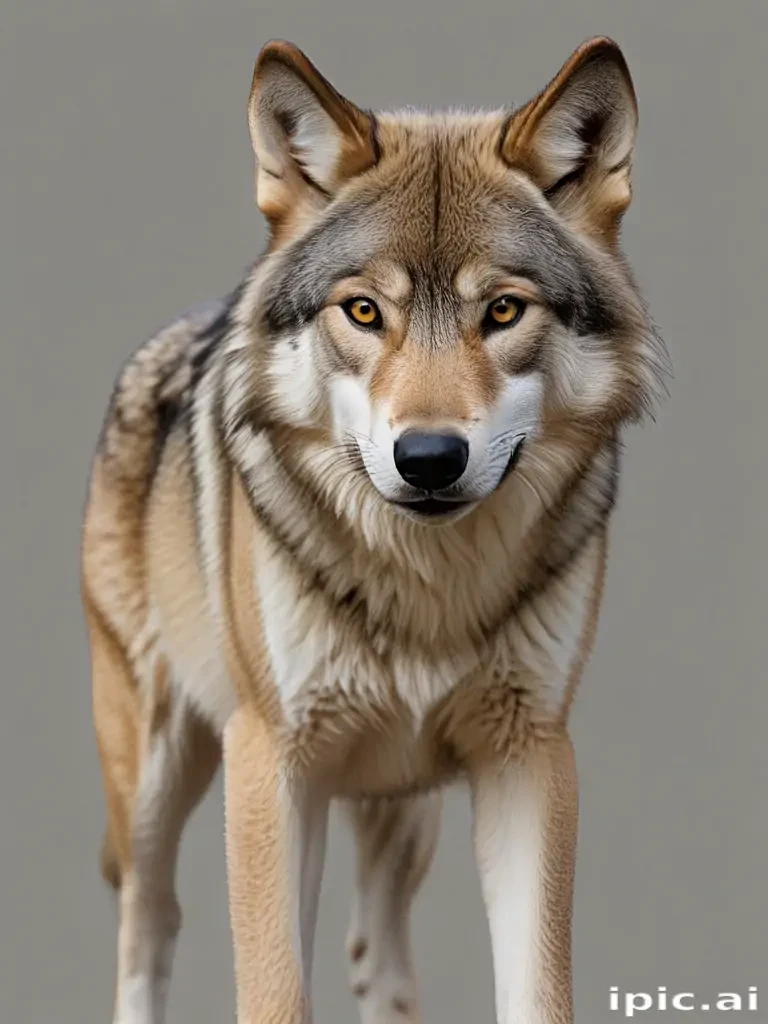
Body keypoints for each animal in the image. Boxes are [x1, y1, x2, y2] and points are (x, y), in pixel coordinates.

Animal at [81, 35, 667, 1024]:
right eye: (363, 311)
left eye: (502, 311)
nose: (427, 457)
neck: (426, 593)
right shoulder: (271, 758)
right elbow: (274, 989)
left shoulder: (531, 756)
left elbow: (538, 986)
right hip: (160, 776)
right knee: (148, 926)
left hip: (400, 811)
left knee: (376, 956)